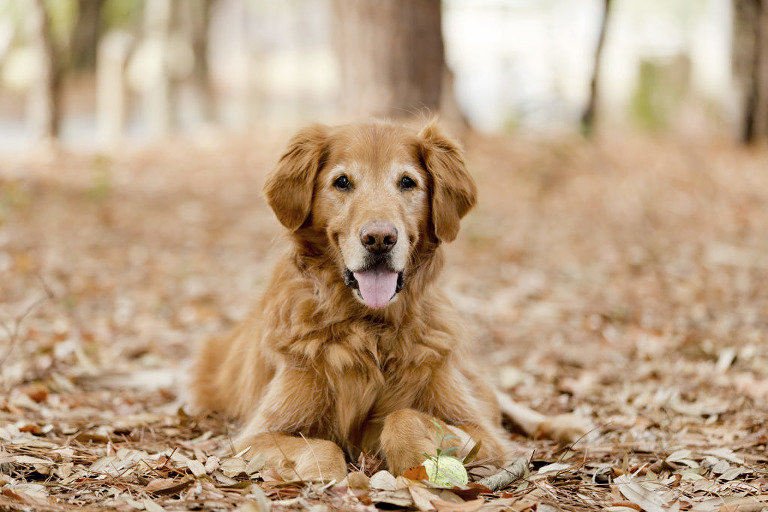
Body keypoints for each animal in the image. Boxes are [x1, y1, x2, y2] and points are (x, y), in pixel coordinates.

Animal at [190, 122, 584, 482]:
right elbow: (323, 446)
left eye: (407, 182)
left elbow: (404, 416)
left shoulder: (483, 434)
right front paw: (328, 480)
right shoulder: (252, 438)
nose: (379, 239)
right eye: (342, 182)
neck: (371, 326)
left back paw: (564, 425)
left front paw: (417, 465)